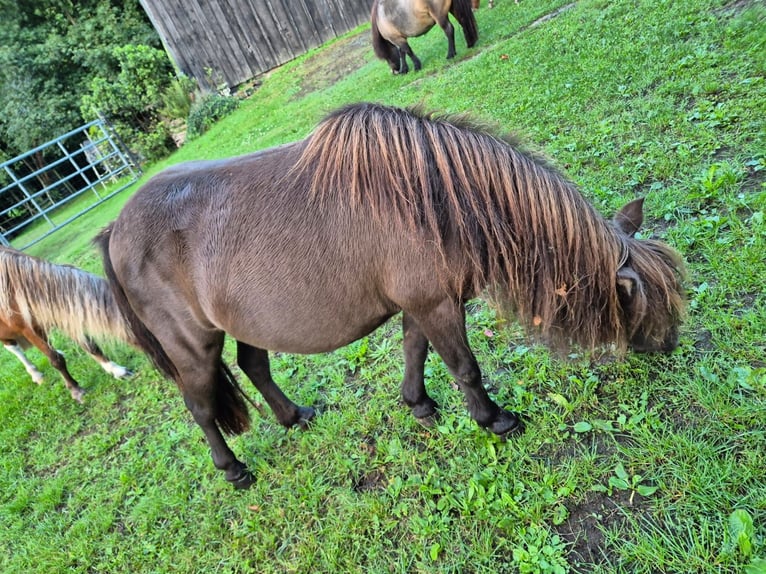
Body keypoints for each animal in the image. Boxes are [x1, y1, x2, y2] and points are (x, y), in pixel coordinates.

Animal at [0, 247, 134, 402]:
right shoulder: (28, 329)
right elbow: (55, 360)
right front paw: (76, 390)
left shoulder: (60, 313)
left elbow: (91, 346)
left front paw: (117, 370)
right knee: (14, 348)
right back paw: (36, 375)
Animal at [96, 103, 685, 489]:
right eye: (647, 304)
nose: (672, 345)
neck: (437, 198)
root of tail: (115, 230)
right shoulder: (436, 304)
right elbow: (464, 366)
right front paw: (494, 420)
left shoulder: (421, 305)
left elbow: (415, 351)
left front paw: (419, 405)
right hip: (194, 346)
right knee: (200, 408)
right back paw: (235, 470)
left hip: (244, 323)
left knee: (254, 367)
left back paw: (295, 417)